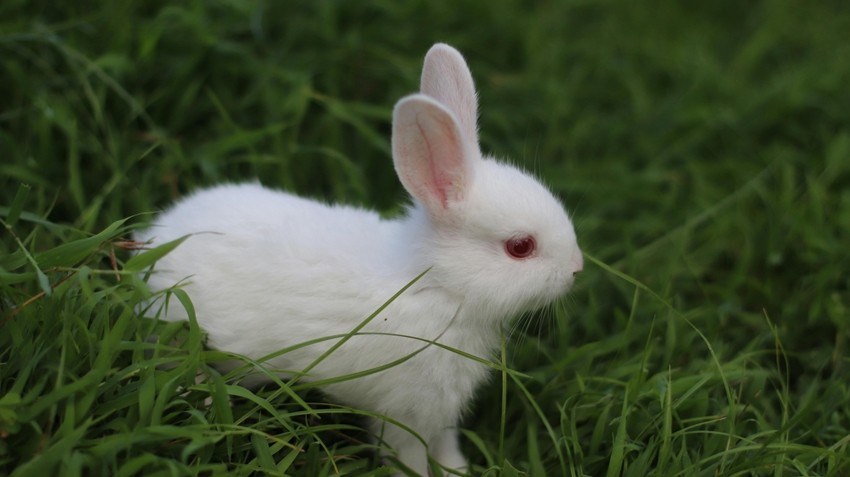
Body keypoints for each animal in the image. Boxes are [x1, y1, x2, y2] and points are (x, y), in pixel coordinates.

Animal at [136, 43, 583, 476]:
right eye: (520, 247)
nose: (577, 268)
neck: (436, 285)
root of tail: (152, 240)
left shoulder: (440, 413)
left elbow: (446, 445)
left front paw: (458, 470)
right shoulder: (404, 413)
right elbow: (409, 457)